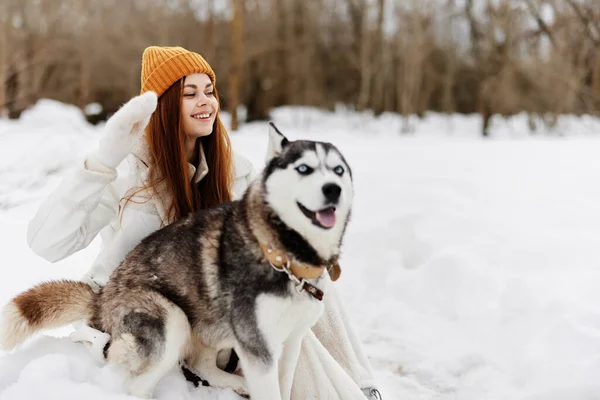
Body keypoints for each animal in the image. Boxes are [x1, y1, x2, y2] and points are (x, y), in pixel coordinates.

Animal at [0, 123, 354, 398]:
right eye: (304, 168)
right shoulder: (258, 347)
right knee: (137, 386)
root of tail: (102, 299)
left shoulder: (288, 342)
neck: (283, 254)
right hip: (171, 319)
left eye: (339, 170)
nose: (332, 189)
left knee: (201, 365)